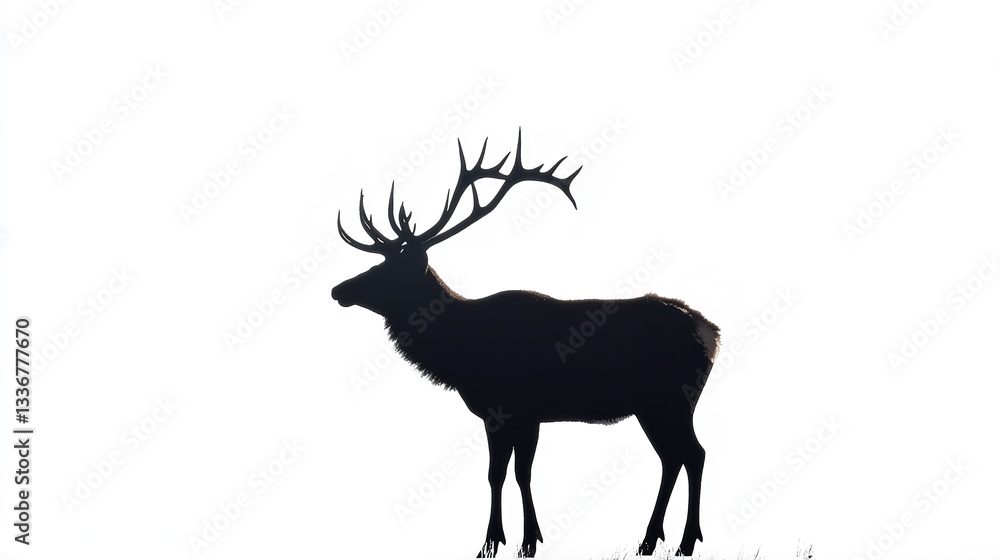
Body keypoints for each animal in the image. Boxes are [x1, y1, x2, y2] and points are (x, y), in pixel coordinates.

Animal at [331, 131, 720, 558]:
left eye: (390, 270)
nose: (339, 290)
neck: (462, 353)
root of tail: (711, 331)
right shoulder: (512, 415)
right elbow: (508, 474)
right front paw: (514, 540)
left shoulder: (514, 408)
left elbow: (508, 473)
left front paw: (507, 542)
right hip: (656, 406)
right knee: (673, 457)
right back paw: (650, 541)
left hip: (671, 399)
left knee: (694, 453)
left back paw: (685, 541)